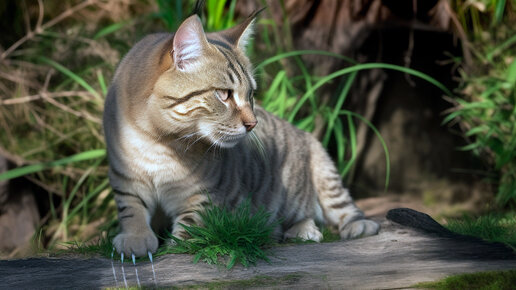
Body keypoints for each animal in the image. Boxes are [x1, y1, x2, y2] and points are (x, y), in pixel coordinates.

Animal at [104, 11, 378, 258]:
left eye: (251, 95)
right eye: (224, 94)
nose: (253, 123)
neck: (160, 142)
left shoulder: (204, 195)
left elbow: (189, 228)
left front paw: (172, 245)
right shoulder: (123, 176)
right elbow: (131, 207)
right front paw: (135, 238)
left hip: (322, 165)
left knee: (338, 207)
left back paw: (350, 226)